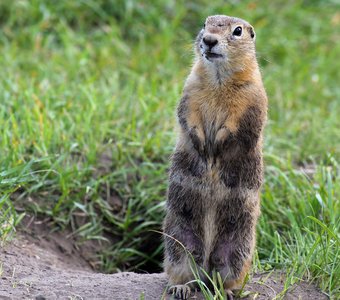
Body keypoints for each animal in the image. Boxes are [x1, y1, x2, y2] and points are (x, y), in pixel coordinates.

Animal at [163, 14, 266, 300]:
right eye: (204, 24)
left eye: (238, 31)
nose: (209, 40)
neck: (219, 78)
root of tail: (207, 263)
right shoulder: (190, 88)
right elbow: (187, 114)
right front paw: (202, 145)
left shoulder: (251, 98)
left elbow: (238, 126)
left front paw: (216, 146)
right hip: (179, 243)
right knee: (189, 272)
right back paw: (181, 287)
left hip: (238, 249)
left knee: (223, 276)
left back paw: (228, 291)